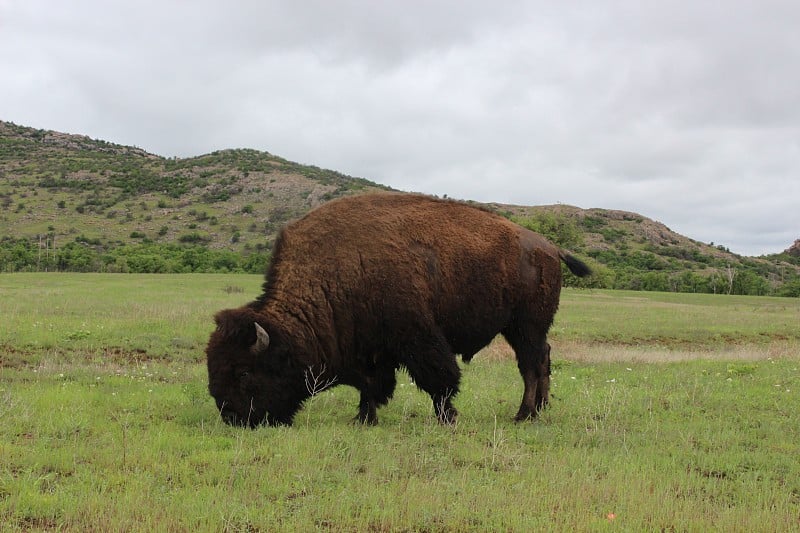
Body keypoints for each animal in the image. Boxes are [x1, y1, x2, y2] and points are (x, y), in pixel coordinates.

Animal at [209, 193, 592, 426]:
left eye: (244, 373)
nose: (233, 417)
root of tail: (549, 247)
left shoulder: (417, 337)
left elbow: (440, 379)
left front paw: (447, 417)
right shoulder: (369, 348)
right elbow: (371, 385)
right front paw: (363, 419)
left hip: (525, 326)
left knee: (531, 365)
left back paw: (523, 414)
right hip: (522, 328)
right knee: (542, 360)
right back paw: (539, 409)